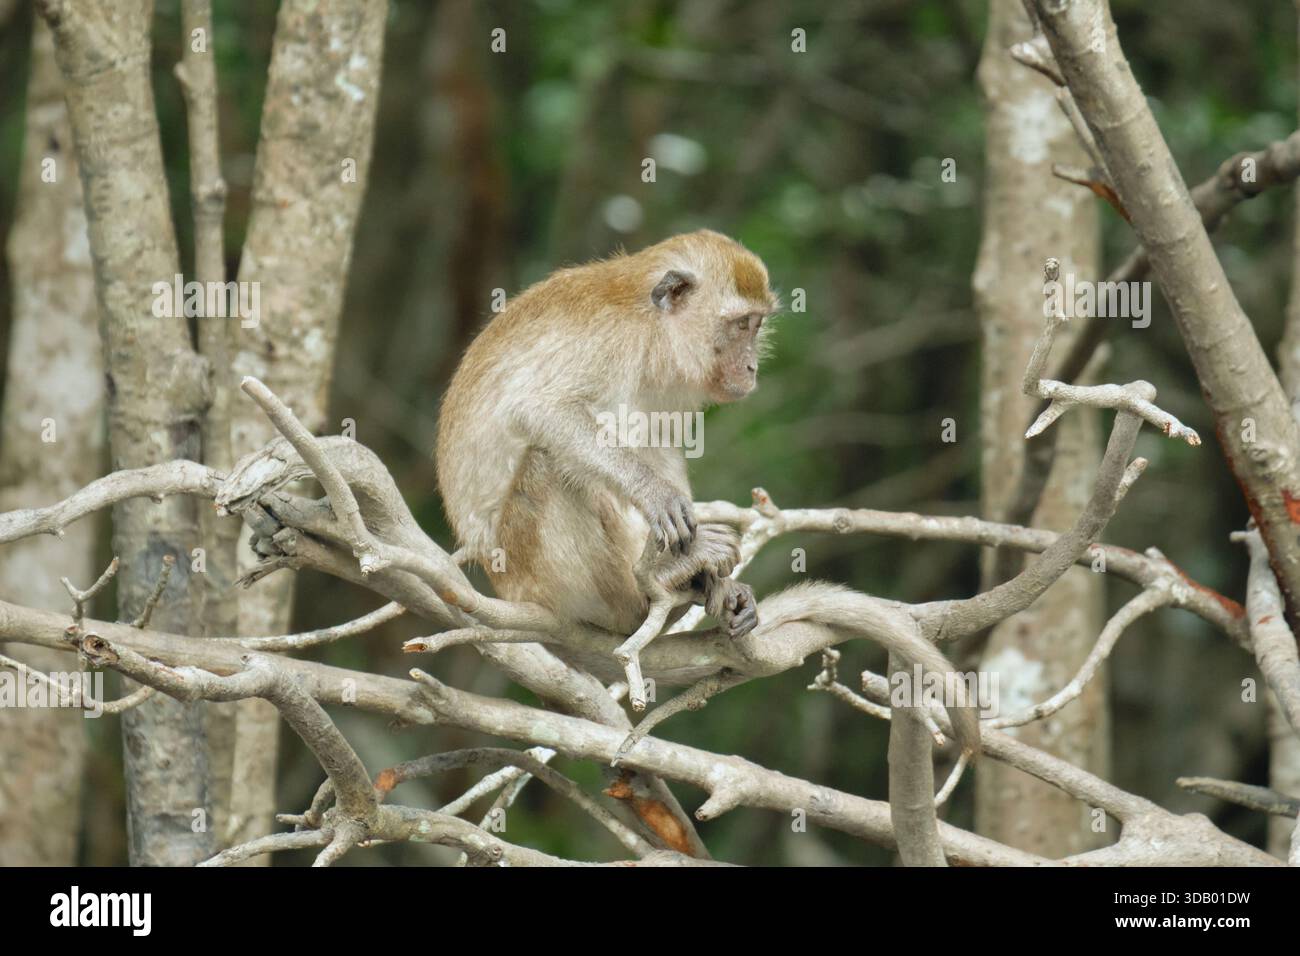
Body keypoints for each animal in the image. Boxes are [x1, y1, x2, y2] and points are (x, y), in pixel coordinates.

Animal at [436, 229, 979, 755]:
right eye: (740, 326)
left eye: (757, 326)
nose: (752, 368)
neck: (648, 328)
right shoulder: (609, 342)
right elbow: (543, 411)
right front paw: (654, 494)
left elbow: (660, 439)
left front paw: (716, 574)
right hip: (534, 570)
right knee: (547, 461)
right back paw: (648, 589)